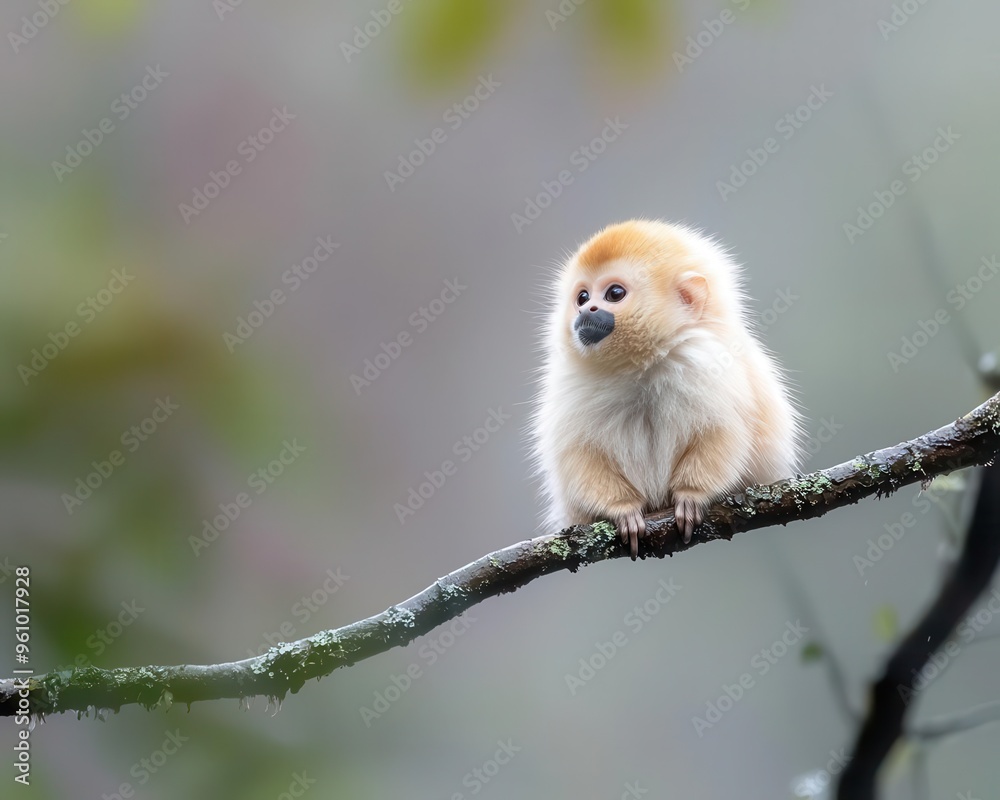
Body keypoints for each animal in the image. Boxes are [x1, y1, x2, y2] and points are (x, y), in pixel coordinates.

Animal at [530, 219, 802, 559]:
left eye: (614, 293)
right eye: (581, 297)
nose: (585, 311)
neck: (641, 365)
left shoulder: (711, 364)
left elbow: (723, 433)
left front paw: (691, 495)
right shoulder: (567, 384)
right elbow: (578, 452)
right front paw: (623, 510)